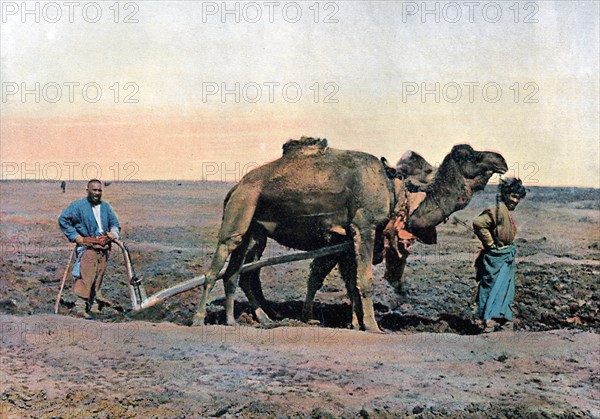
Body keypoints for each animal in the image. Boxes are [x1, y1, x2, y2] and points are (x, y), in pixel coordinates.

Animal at [193, 139, 506, 334]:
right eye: (470, 155)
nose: (501, 159)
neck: (396, 190)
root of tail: (235, 187)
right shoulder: (364, 227)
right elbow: (363, 281)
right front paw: (373, 326)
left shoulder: (348, 238)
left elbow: (352, 282)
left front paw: (356, 323)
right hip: (241, 210)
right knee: (218, 266)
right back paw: (199, 320)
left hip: (254, 229)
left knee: (238, 272)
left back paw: (242, 320)